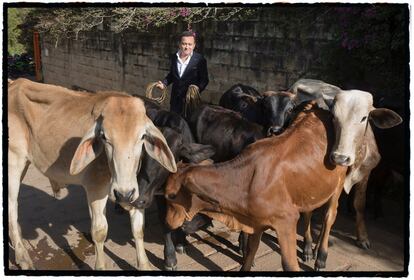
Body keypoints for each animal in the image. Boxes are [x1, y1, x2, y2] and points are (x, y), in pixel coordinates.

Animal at [163, 107, 348, 272]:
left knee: (329, 216)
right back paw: (310, 249)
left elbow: (289, 265)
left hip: (338, 184)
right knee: (309, 212)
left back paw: (321, 258)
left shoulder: (287, 220)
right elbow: (251, 251)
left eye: (171, 195)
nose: (167, 223)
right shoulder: (257, 222)